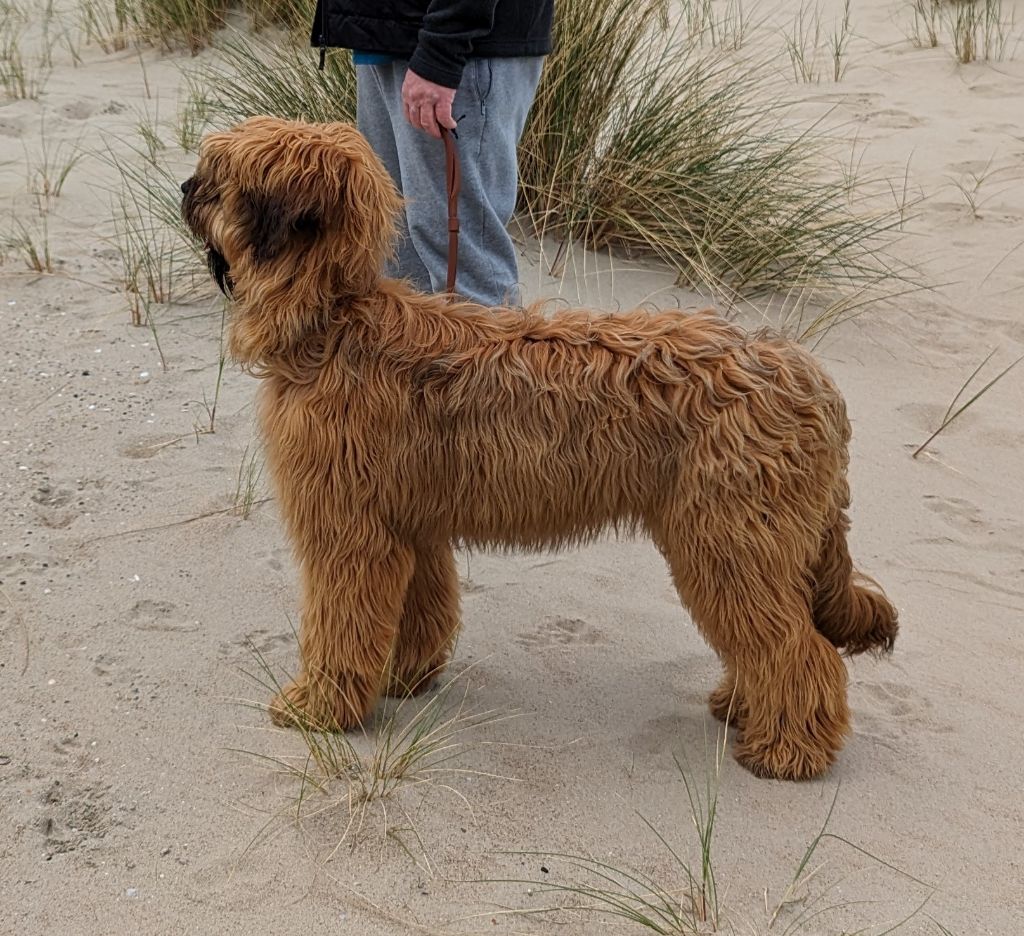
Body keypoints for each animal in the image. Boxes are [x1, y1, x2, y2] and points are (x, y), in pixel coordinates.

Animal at [182, 116, 897, 782]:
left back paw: (788, 749)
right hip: (750, 547)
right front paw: (404, 677)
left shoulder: (349, 531)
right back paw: (744, 709)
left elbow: (340, 623)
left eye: (218, 175)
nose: (185, 189)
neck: (335, 320)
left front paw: (319, 707)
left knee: (798, 651)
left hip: (728, 543)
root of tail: (808, 377)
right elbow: (422, 607)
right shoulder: (411, 523)